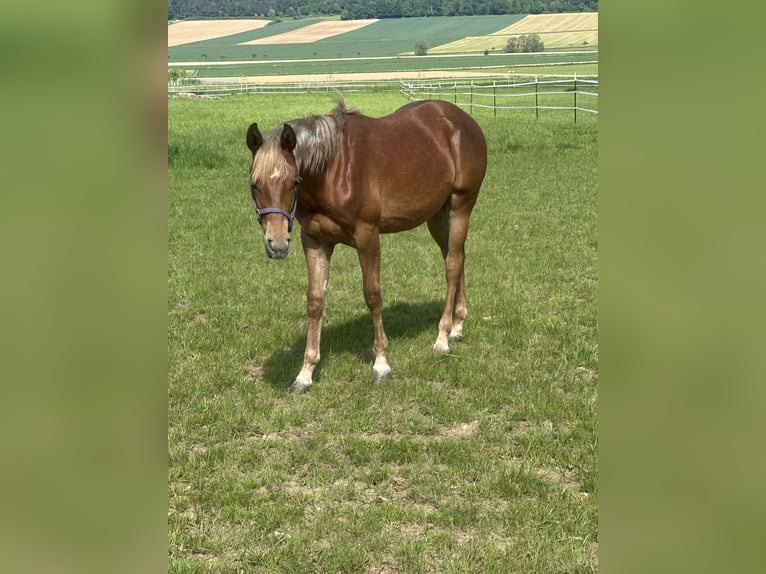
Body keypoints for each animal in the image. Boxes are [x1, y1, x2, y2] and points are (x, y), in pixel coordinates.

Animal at [245, 96, 487, 392]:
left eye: (293, 181)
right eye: (254, 184)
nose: (277, 244)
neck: (333, 170)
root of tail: (464, 121)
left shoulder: (367, 236)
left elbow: (372, 295)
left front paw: (381, 363)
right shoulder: (315, 241)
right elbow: (315, 300)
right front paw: (306, 371)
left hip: (461, 206)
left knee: (452, 266)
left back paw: (442, 337)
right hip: (438, 217)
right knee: (458, 257)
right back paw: (458, 325)